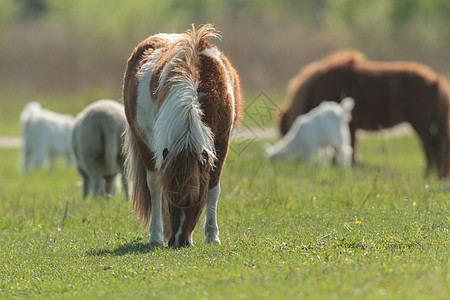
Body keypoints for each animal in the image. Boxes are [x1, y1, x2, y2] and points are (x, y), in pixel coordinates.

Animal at [122, 24, 243, 247]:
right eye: (171, 196)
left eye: (197, 197)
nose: (178, 241)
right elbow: (159, 189)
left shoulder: (221, 144)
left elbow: (214, 188)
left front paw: (212, 235)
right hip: (145, 146)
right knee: (154, 187)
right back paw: (156, 237)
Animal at [280, 51, 448, 178]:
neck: (318, 86)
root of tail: (435, 79)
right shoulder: (351, 129)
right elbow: (351, 149)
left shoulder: (348, 129)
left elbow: (347, 150)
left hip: (422, 127)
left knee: (431, 150)